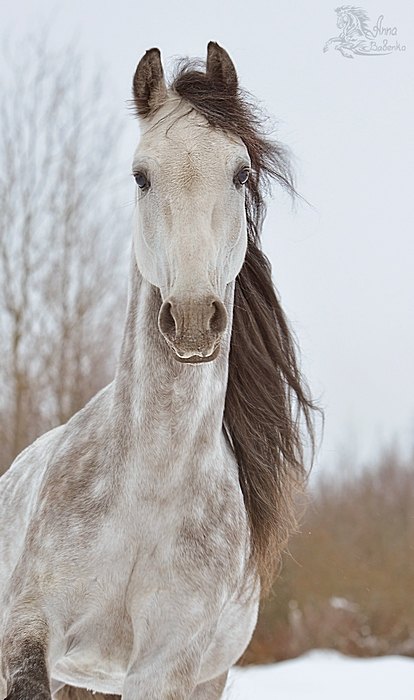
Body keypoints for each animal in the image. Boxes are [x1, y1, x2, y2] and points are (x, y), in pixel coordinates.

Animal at [0, 45, 314, 700]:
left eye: (240, 173)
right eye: (141, 176)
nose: (193, 318)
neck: (148, 490)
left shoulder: (164, 668)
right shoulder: (27, 627)